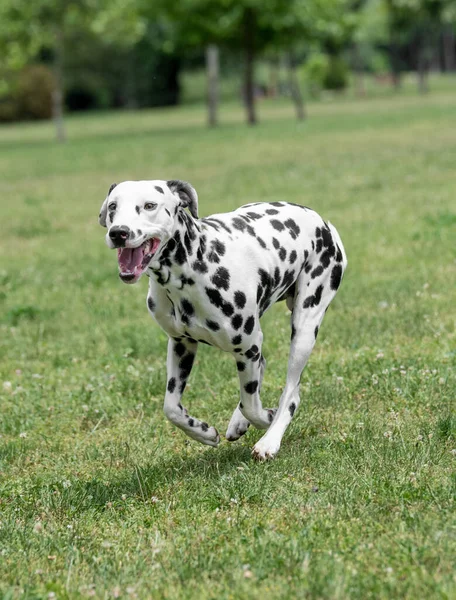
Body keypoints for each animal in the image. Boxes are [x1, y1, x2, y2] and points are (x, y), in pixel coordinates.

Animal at [100, 178, 348, 460]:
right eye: (113, 206)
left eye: (149, 205)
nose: (118, 232)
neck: (193, 268)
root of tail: (323, 222)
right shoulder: (181, 344)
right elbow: (171, 409)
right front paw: (203, 432)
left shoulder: (247, 347)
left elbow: (253, 407)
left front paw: (266, 420)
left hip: (304, 329)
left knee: (290, 394)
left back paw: (270, 439)